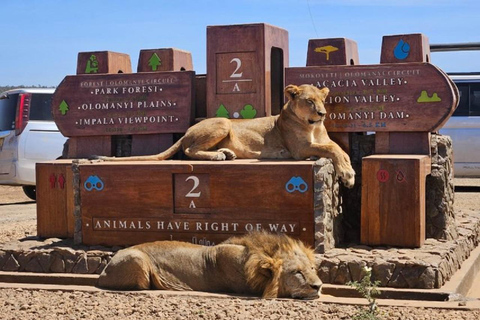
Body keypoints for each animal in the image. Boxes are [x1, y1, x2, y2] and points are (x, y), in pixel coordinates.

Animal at [100, 84, 356, 188]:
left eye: (322, 100)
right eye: (309, 101)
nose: (323, 113)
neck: (314, 127)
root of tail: (186, 131)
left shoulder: (322, 141)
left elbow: (340, 149)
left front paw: (348, 171)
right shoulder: (299, 150)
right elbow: (332, 150)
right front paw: (347, 175)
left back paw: (227, 153)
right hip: (222, 122)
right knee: (189, 150)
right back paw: (218, 156)